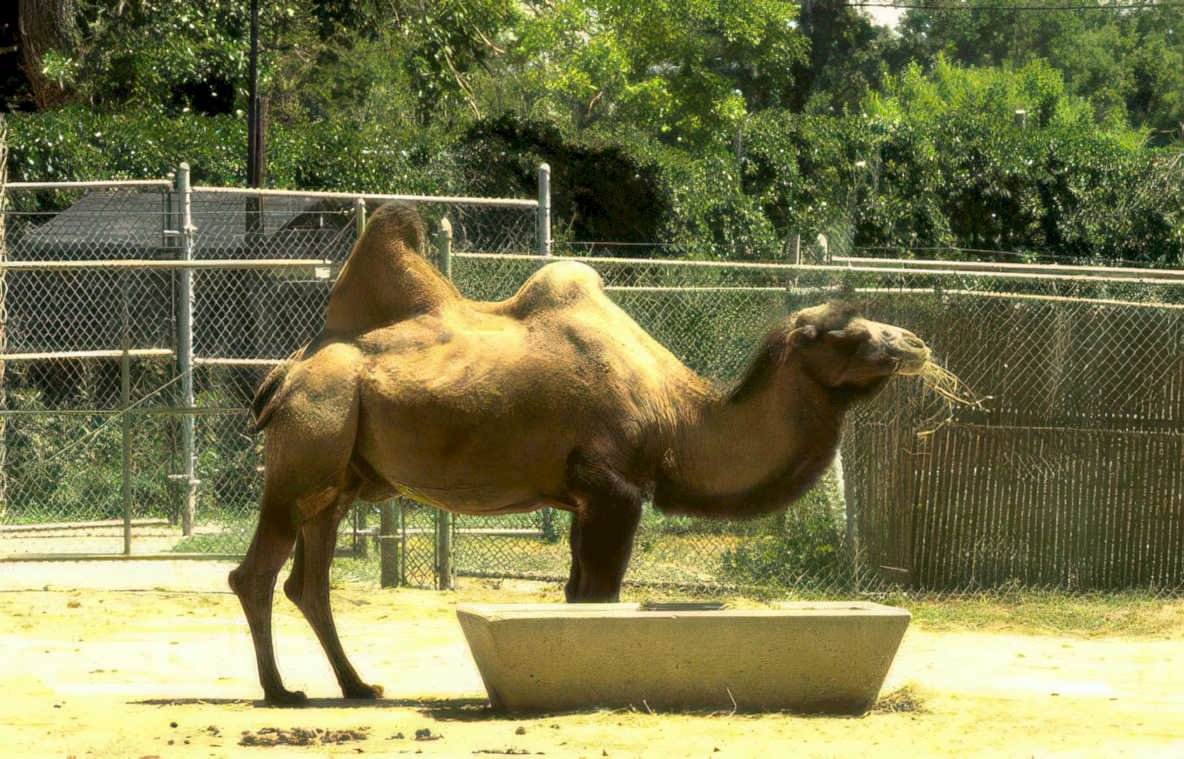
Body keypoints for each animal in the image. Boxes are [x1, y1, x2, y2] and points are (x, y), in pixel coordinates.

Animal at [229, 202, 933, 705]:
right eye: (845, 332)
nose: (916, 343)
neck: (677, 417)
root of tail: (290, 371)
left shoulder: (583, 501)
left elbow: (576, 591)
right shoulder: (613, 488)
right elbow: (599, 594)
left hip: (340, 477)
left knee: (309, 582)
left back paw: (356, 686)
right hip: (308, 443)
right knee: (256, 573)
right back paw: (281, 692)